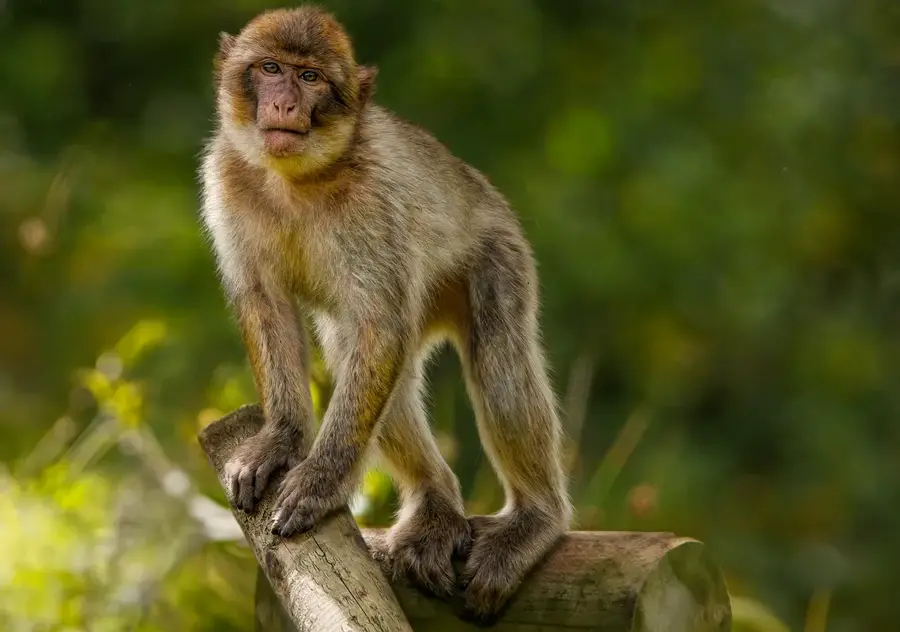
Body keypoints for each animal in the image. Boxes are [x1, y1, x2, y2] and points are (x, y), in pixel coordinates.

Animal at [198, 5, 572, 622]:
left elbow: (380, 327)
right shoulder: (226, 178)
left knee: (495, 357)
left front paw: (320, 481)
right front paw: (281, 438)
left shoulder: (372, 199)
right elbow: (266, 304)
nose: (284, 105)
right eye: (270, 69)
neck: (296, 178)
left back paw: (537, 519)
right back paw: (436, 500)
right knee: (358, 350)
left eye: (310, 78)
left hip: (498, 254)